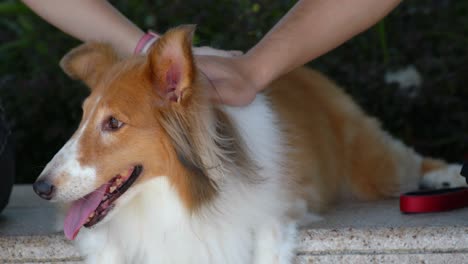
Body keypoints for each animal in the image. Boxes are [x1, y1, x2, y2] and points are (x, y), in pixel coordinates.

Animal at [32, 25, 464, 264]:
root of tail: (304, 74)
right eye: (82, 117)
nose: (40, 188)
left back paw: (446, 175)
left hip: (370, 166)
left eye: (114, 123)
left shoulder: (276, 207)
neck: (175, 196)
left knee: (405, 158)